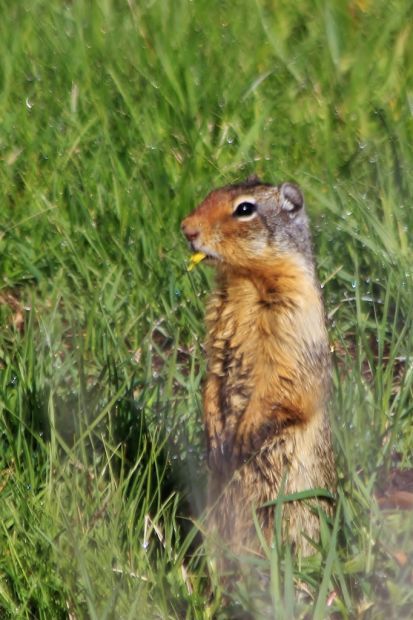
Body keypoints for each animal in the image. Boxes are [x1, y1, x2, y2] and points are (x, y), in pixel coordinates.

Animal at [180, 177, 334, 560]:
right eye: (210, 193)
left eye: (245, 209)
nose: (186, 228)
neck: (245, 280)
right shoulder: (217, 330)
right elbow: (213, 374)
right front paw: (215, 436)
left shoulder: (295, 316)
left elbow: (284, 379)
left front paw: (244, 434)